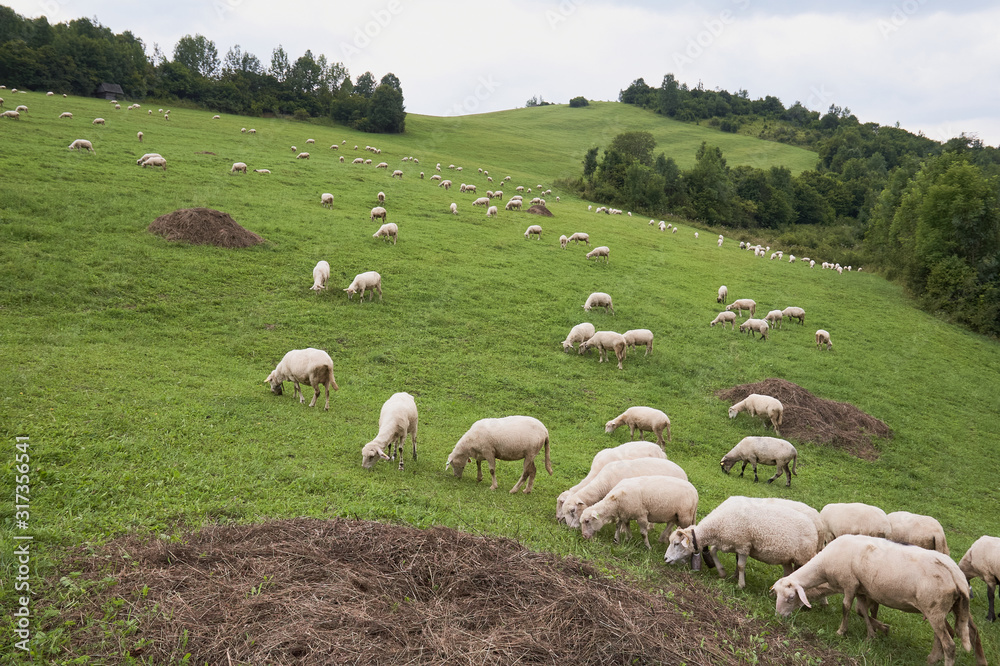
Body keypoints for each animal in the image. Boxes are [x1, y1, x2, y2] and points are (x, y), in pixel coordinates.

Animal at [664, 495, 820, 589]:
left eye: (676, 544)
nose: (665, 558)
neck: (718, 524)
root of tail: (813, 525)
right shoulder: (727, 541)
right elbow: (714, 551)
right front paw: (722, 572)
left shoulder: (743, 545)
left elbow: (740, 566)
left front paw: (740, 584)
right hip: (787, 558)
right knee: (789, 573)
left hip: (804, 556)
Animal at [772, 534, 986, 666]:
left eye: (791, 597)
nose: (778, 617)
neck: (823, 565)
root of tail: (956, 574)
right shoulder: (861, 588)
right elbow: (862, 611)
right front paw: (873, 633)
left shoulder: (849, 583)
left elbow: (846, 607)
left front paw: (842, 631)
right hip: (952, 608)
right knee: (970, 631)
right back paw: (954, 659)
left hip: (935, 609)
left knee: (949, 644)